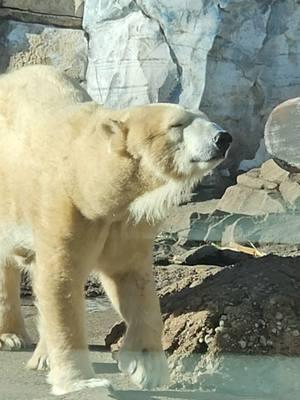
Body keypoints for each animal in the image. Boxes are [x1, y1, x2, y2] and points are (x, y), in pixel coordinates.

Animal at [0, 65, 231, 394]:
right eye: (177, 124)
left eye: (204, 116)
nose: (223, 138)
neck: (86, 174)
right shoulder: (65, 206)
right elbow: (60, 280)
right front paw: (82, 381)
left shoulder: (124, 221)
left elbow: (131, 277)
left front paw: (147, 367)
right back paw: (12, 336)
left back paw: (41, 354)